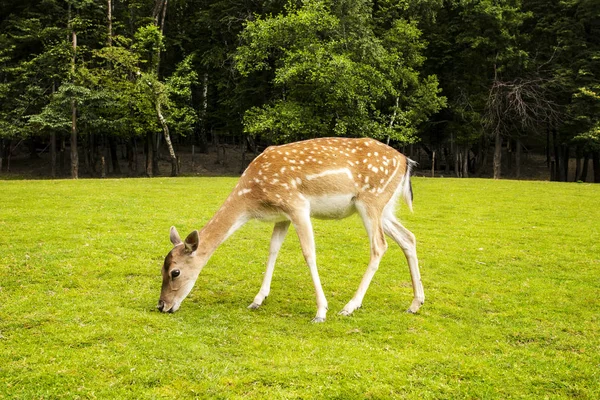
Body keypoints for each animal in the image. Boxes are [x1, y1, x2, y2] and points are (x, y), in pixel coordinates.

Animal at [157, 138, 424, 322]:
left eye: (175, 272)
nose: (161, 305)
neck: (252, 200)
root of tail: (406, 162)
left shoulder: (297, 204)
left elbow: (309, 253)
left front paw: (321, 311)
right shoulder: (281, 216)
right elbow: (273, 249)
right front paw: (257, 300)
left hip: (371, 201)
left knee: (379, 246)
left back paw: (350, 306)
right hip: (385, 208)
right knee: (408, 237)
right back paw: (415, 303)